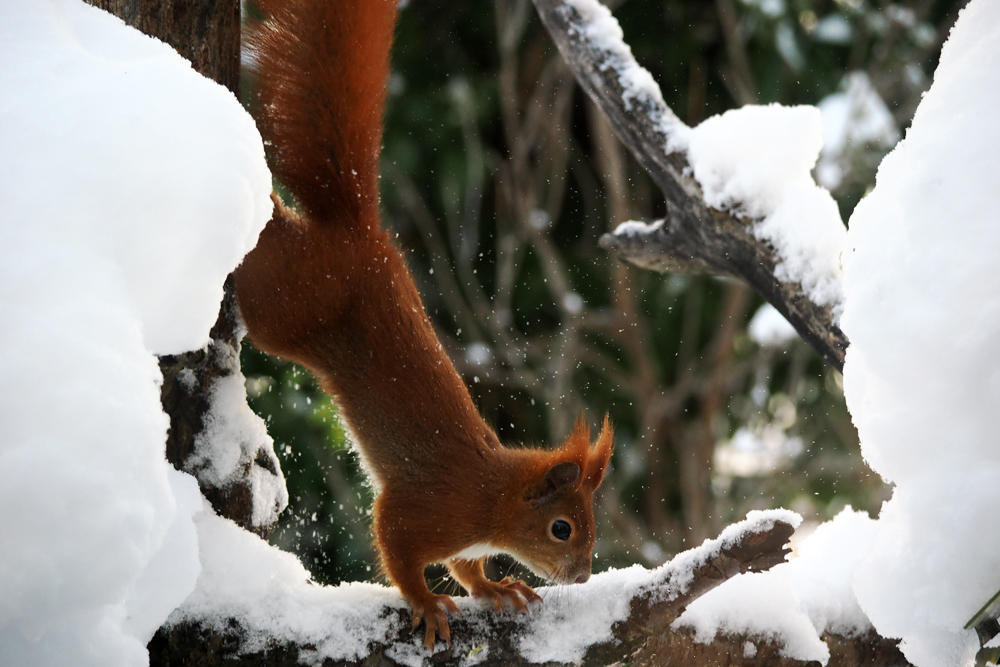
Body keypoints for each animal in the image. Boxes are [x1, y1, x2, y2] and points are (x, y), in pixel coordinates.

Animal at [233, 0, 612, 648]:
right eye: (561, 528)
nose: (584, 576)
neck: (491, 497)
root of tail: (359, 233)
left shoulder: (465, 538)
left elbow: (465, 565)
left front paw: (495, 587)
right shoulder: (428, 509)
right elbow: (398, 547)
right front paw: (427, 602)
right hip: (289, 303)